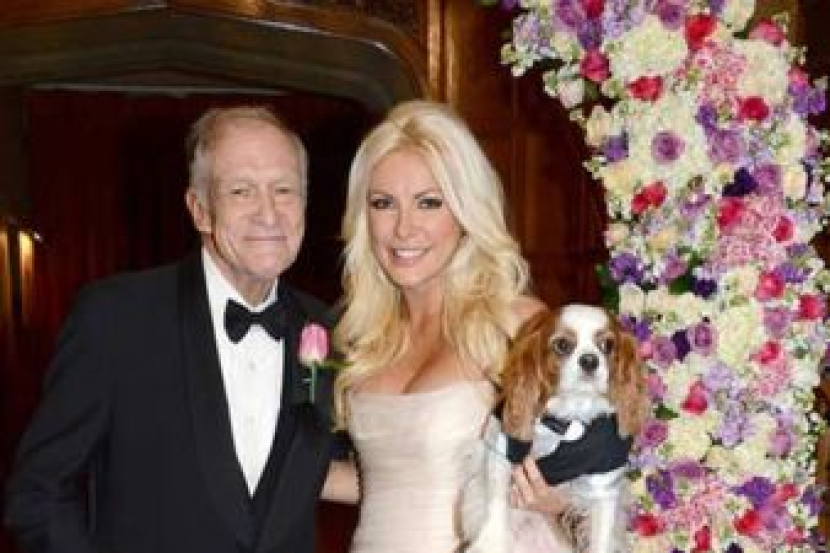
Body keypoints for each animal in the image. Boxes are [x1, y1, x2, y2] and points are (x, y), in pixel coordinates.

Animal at [462, 304, 648, 553]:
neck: (568, 419)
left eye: (608, 345)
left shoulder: (605, 480)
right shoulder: (502, 447)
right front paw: (490, 543)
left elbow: (602, 535)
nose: (590, 360)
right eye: (562, 345)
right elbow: (496, 500)